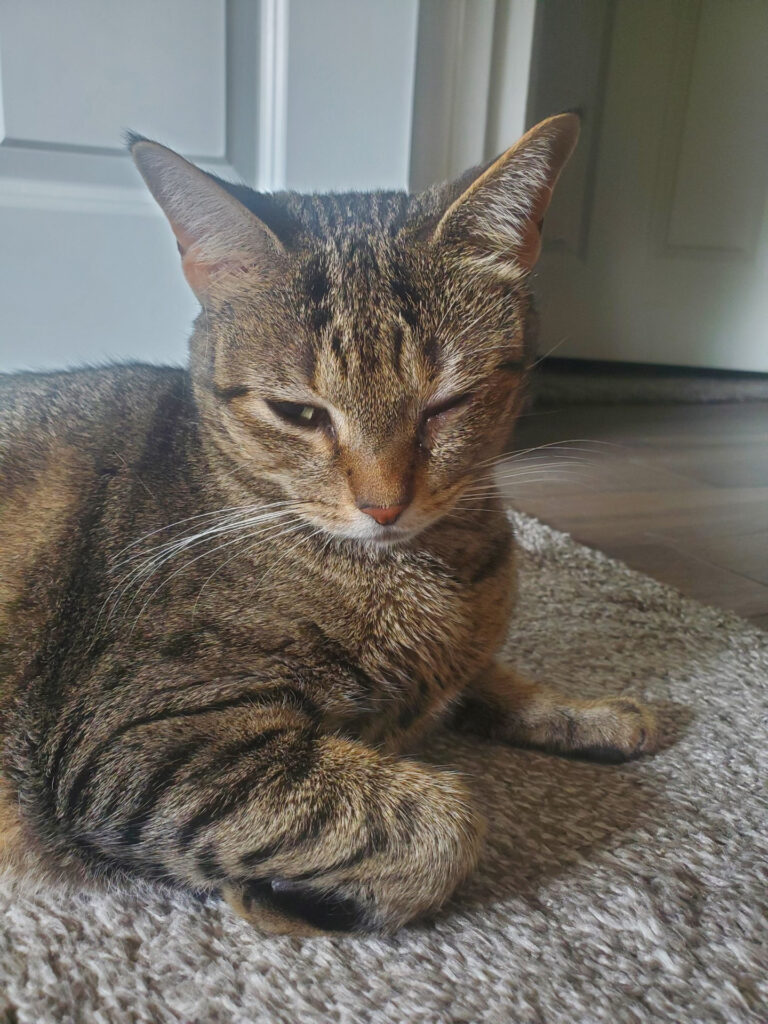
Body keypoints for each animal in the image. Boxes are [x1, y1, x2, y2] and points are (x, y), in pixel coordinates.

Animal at [1, 114, 655, 937]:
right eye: (299, 413)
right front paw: (291, 895)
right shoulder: (134, 737)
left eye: (447, 404)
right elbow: (445, 824)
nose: (384, 505)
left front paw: (588, 711)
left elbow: (497, 679)